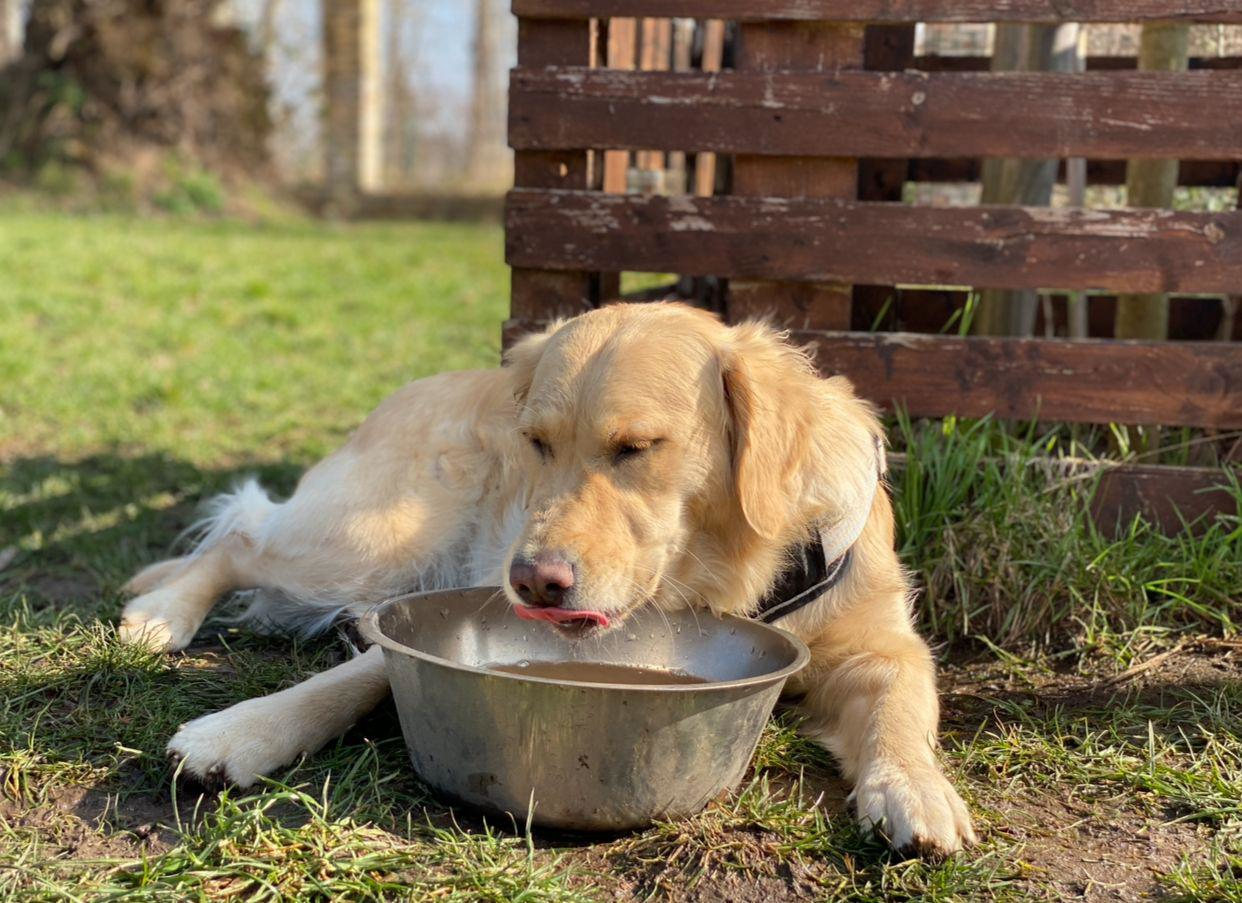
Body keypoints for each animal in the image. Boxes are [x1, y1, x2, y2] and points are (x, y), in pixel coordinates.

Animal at [118, 301, 968, 854]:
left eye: (636, 447)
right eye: (536, 443)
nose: (531, 582)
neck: (735, 573)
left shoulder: (885, 643)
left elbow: (903, 704)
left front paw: (916, 790)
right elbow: (352, 680)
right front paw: (242, 729)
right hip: (374, 535)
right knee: (239, 534)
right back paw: (162, 611)